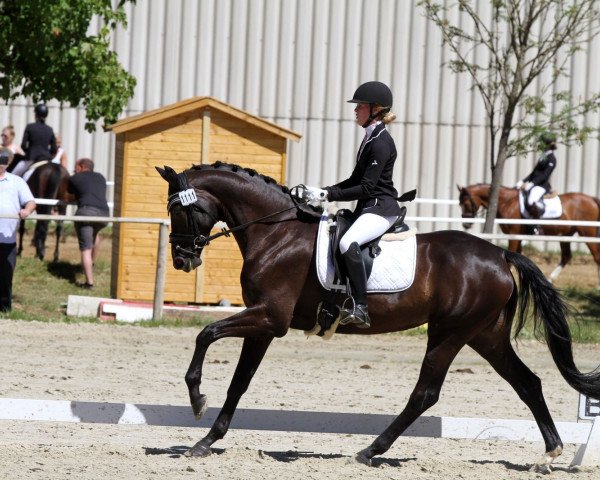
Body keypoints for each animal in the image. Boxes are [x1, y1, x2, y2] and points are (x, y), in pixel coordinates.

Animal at [458, 183, 600, 288]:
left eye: (466, 203)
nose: (466, 224)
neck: (506, 202)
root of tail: (592, 199)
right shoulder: (519, 236)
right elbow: (518, 253)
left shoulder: (514, 234)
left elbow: (512, 252)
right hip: (565, 235)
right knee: (566, 256)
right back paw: (550, 279)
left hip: (587, 232)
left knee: (596, 256)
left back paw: (597, 286)